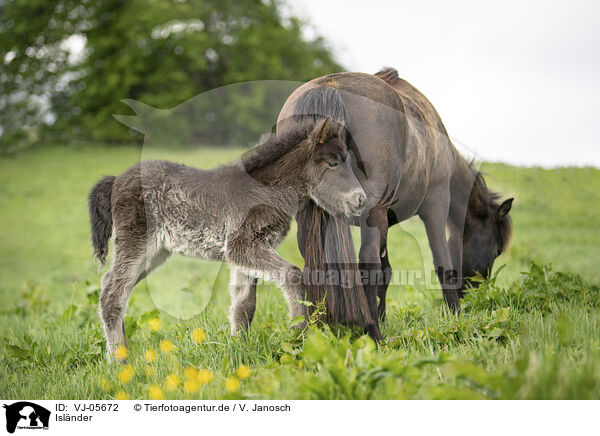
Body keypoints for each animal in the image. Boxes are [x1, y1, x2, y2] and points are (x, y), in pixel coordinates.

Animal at [278, 68, 512, 340]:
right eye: (497, 250)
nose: (474, 295)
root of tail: (330, 87)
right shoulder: (435, 206)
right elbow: (442, 264)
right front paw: (456, 318)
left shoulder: (386, 221)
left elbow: (387, 272)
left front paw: (383, 316)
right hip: (373, 211)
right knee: (368, 262)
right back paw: (374, 334)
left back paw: (315, 331)